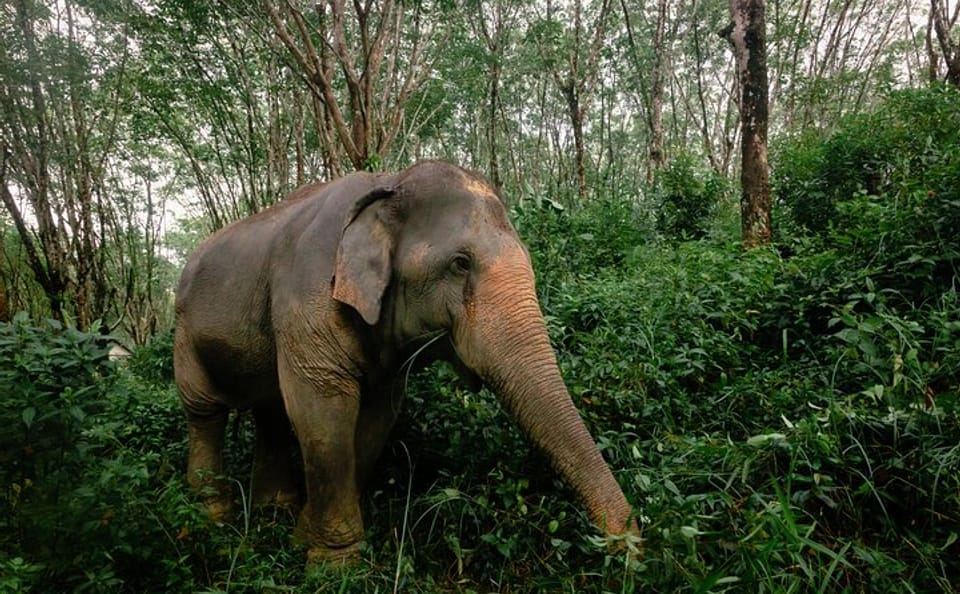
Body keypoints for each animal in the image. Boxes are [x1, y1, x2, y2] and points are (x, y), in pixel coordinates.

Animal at [173, 160, 636, 564]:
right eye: (460, 264)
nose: (628, 547)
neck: (389, 182)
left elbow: (377, 416)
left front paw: (303, 536)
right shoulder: (306, 299)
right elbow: (323, 410)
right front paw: (332, 563)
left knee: (268, 409)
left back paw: (273, 512)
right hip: (184, 332)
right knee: (205, 410)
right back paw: (209, 518)